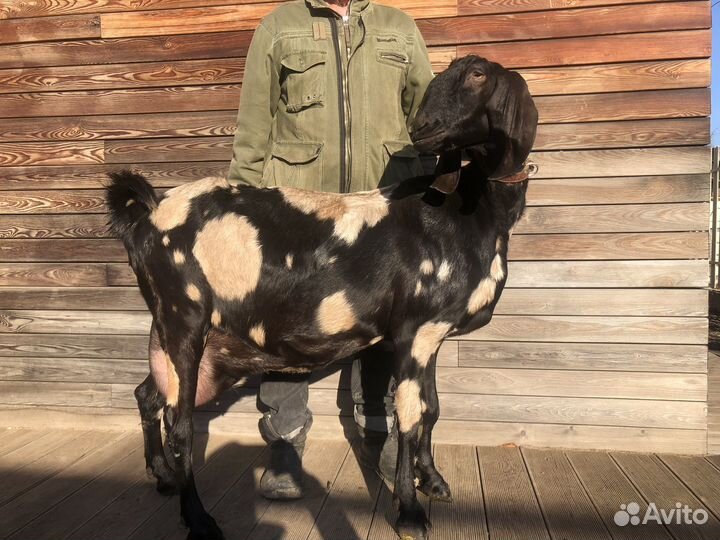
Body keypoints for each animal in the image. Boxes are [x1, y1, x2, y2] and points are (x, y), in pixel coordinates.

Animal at [105, 55, 538, 540]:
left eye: (478, 75)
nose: (422, 126)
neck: (465, 210)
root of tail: (146, 216)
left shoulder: (432, 334)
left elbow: (432, 409)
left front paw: (435, 482)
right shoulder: (416, 330)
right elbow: (410, 418)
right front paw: (409, 513)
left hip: (184, 337)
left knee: (149, 394)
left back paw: (162, 476)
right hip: (183, 316)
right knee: (179, 424)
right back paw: (198, 519)